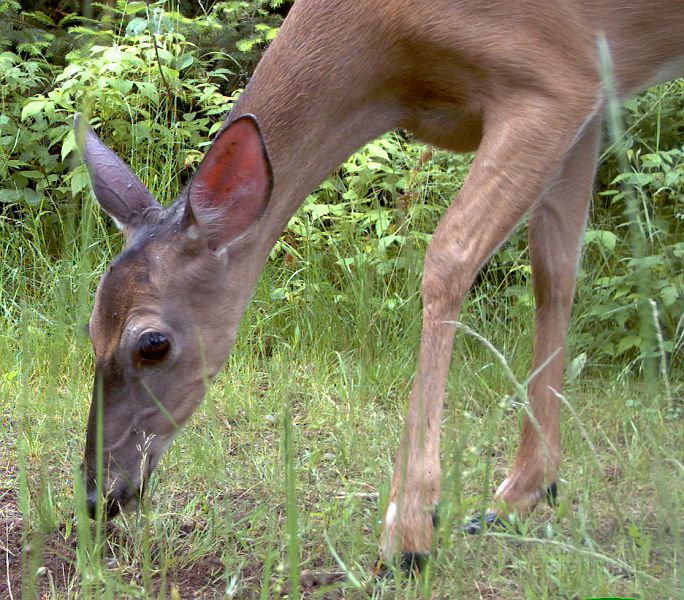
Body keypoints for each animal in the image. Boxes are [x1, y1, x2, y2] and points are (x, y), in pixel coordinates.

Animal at [76, 0, 684, 572]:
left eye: (153, 343)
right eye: (91, 327)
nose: (97, 495)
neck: (396, 59)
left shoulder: (557, 81)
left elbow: (448, 258)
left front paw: (409, 532)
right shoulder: (593, 100)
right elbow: (554, 273)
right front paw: (525, 492)